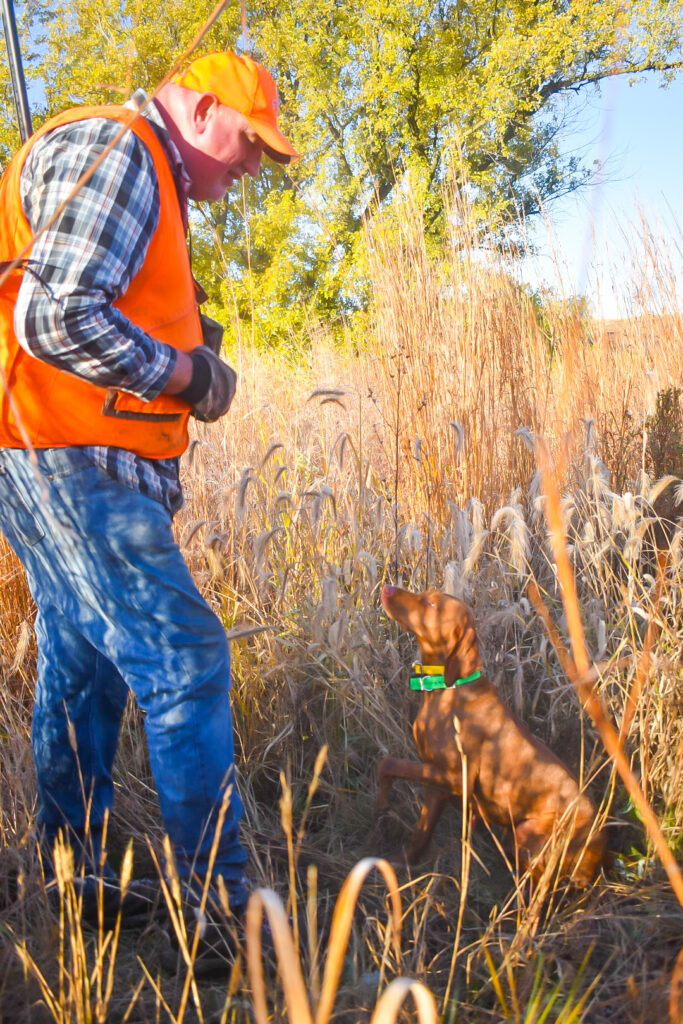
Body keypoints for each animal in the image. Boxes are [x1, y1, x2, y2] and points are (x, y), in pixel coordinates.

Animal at [376, 589, 606, 884]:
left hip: (527, 835)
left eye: (432, 604)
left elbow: (388, 763)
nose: (388, 589)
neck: (449, 689)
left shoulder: (455, 777)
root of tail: (601, 853)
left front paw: (381, 798)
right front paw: (400, 864)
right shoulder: (436, 784)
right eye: (427, 593)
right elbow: (420, 833)